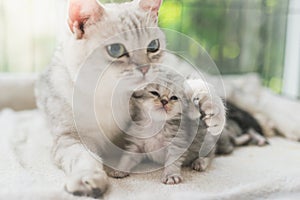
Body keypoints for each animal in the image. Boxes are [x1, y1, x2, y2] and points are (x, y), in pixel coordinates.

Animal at [35, 0, 225, 197]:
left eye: (153, 46)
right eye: (115, 49)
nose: (145, 68)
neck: (110, 95)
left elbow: (186, 84)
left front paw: (210, 106)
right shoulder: (67, 137)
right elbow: (83, 156)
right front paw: (87, 178)